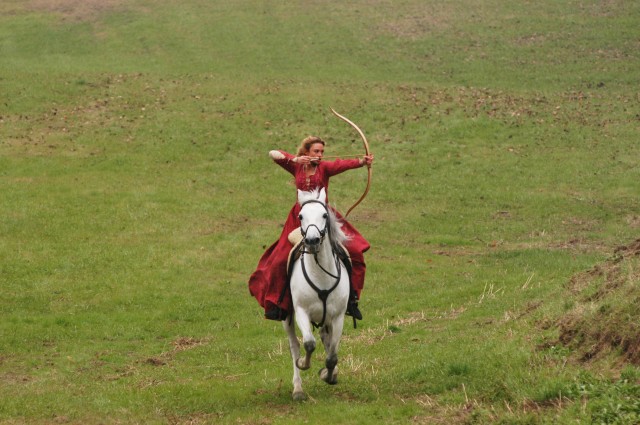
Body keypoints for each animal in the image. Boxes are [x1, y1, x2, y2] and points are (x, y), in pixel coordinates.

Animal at [282, 189, 350, 400]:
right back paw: (298, 389)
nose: (312, 241)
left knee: (324, 337)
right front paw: (304, 364)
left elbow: (332, 356)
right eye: (301, 216)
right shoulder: (301, 312)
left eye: (325, 215)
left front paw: (328, 375)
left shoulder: (338, 317)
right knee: (294, 346)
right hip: (287, 319)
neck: (321, 275)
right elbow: (309, 344)